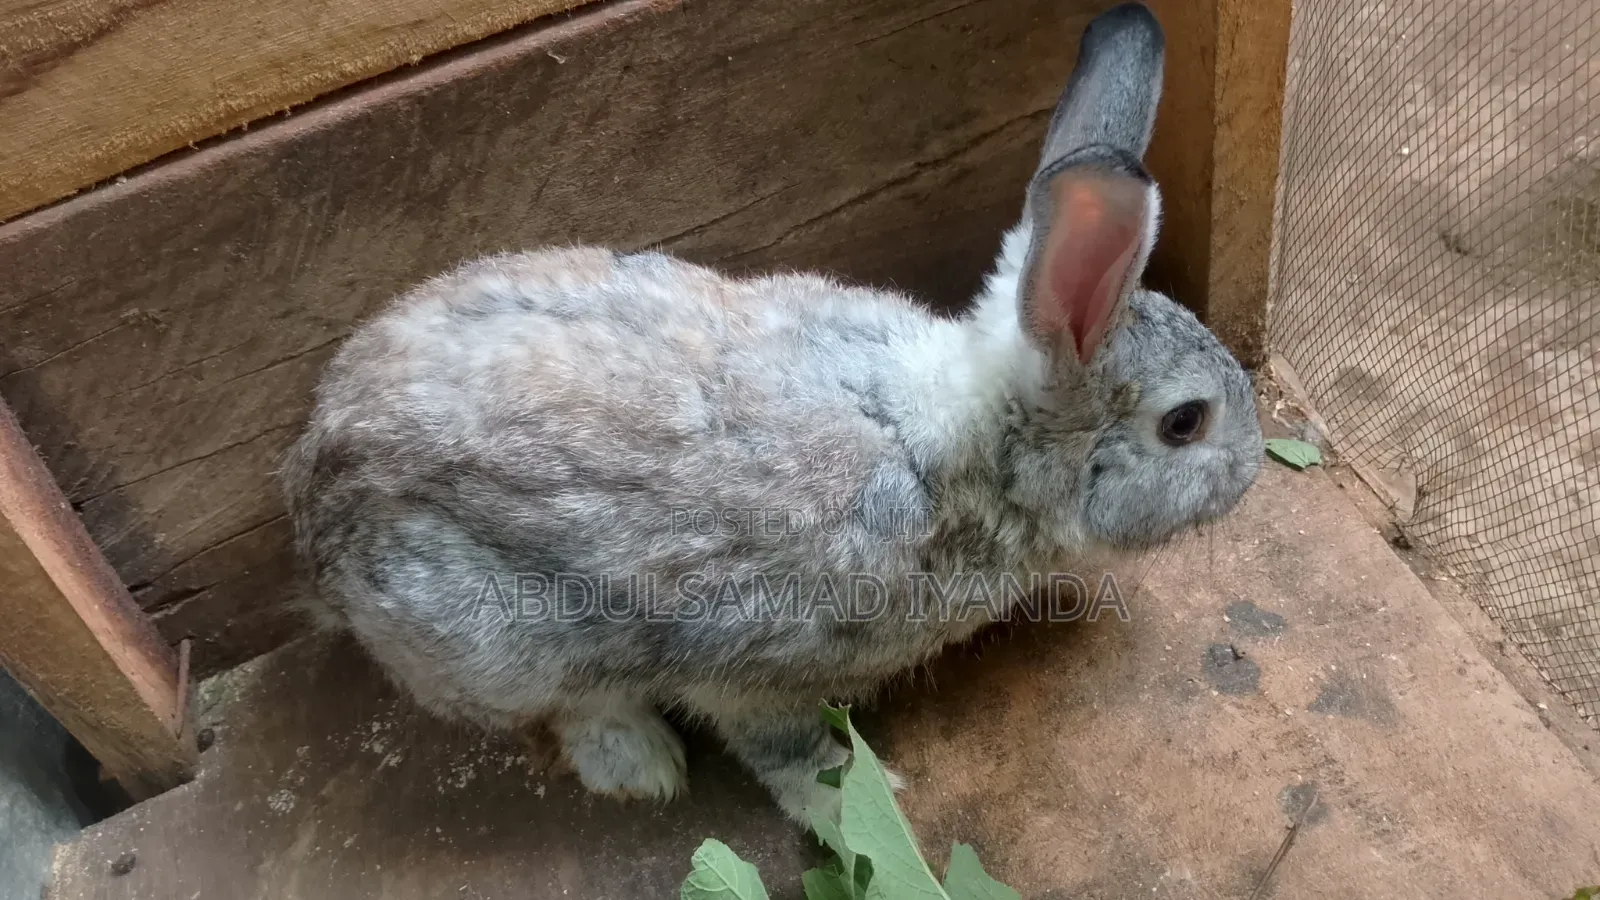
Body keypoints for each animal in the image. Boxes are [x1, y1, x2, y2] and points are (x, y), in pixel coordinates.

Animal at [279, 1, 1263, 824]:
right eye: (1186, 423)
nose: (1254, 469)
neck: (968, 452)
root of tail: (311, 507)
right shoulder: (761, 671)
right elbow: (783, 750)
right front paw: (850, 804)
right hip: (501, 638)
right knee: (571, 708)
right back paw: (642, 766)